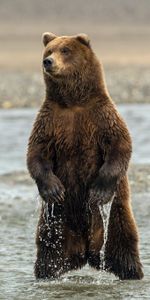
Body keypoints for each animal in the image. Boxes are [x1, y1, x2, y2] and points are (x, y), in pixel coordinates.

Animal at [26, 32, 143, 282]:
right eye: (49, 50)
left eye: (65, 50)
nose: (47, 62)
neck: (73, 102)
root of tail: (86, 252)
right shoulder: (50, 121)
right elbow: (36, 154)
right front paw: (53, 189)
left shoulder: (101, 116)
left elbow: (120, 146)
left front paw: (98, 191)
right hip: (55, 224)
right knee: (48, 252)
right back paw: (46, 275)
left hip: (116, 216)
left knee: (123, 246)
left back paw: (132, 273)